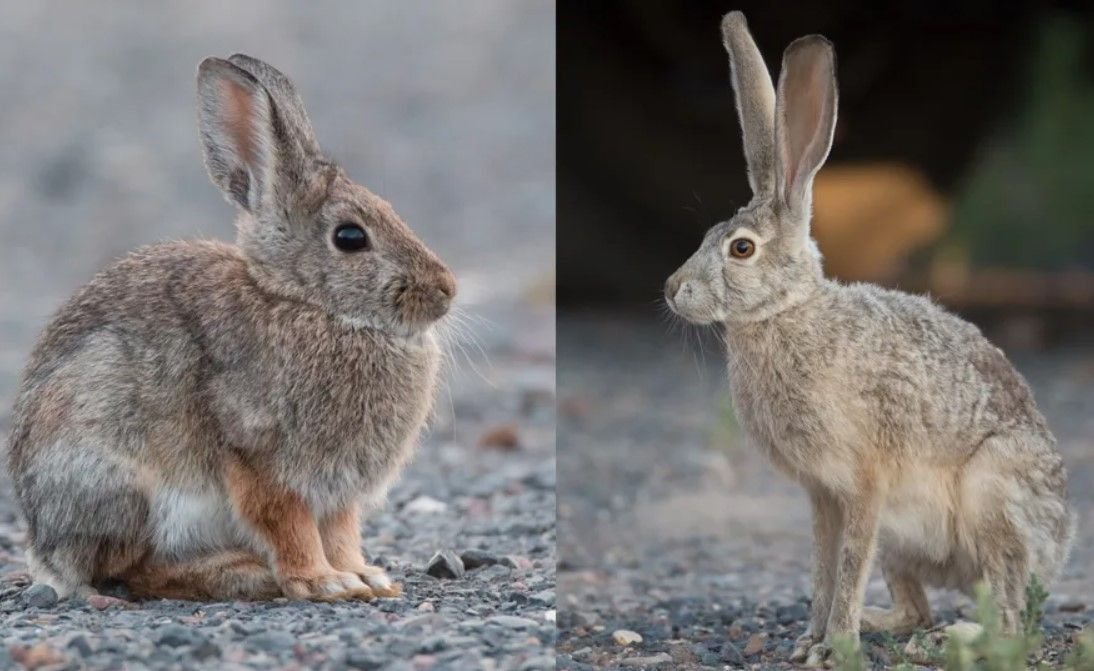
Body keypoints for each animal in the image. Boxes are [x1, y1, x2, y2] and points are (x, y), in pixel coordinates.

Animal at [6, 55, 455, 599]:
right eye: (350, 238)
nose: (446, 290)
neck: (304, 303)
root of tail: (43, 545)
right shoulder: (258, 453)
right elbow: (287, 523)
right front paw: (321, 582)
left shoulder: (337, 490)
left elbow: (341, 531)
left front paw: (364, 576)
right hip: (117, 475)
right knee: (131, 568)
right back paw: (241, 572)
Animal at [660, 10, 1072, 665]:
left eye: (741, 249)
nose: (674, 290)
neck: (788, 314)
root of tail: (1060, 545)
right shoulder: (821, 496)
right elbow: (823, 566)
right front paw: (810, 639)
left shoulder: (865, 484)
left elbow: (848, 564)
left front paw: (835, 647)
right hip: (905, 545)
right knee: (918, 608)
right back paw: (892, 625)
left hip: (993, 498)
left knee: (1011, 620)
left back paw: (956, 637)